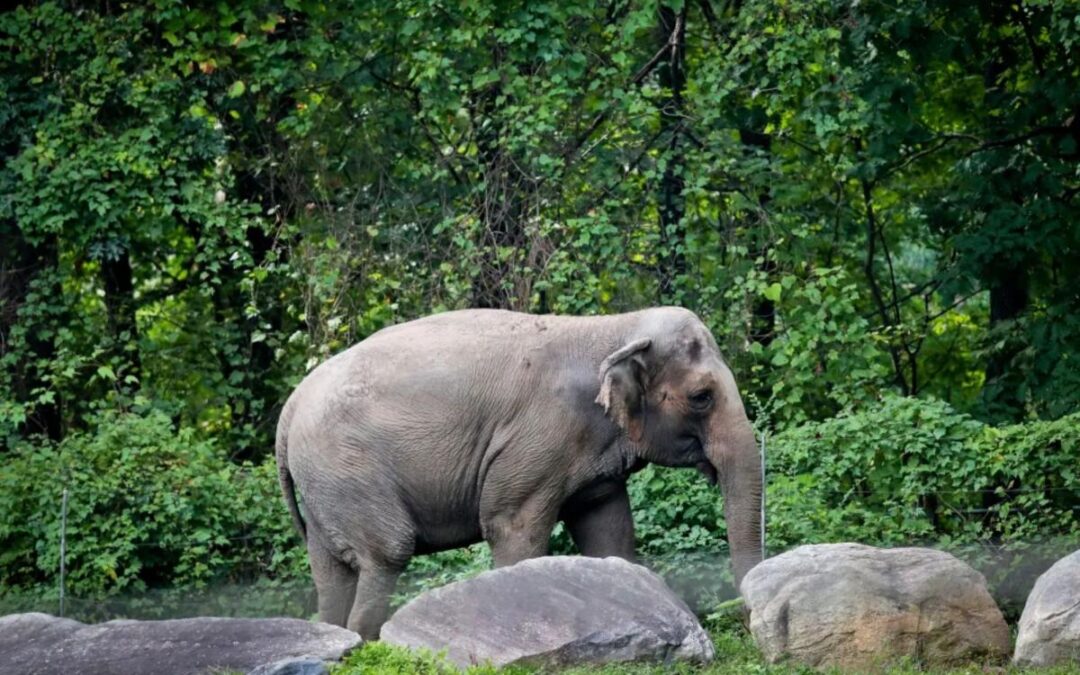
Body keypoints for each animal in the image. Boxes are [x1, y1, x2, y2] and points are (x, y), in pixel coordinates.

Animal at [276, 307, 763, 640]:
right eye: (701, 397)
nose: (745, 619)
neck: (613, 327)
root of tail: (290, 407)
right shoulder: (537, 440)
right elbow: (513, 528)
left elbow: (609, 532)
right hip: (348, 469)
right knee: (386, 553)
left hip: (324, 485)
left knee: (331, 572)